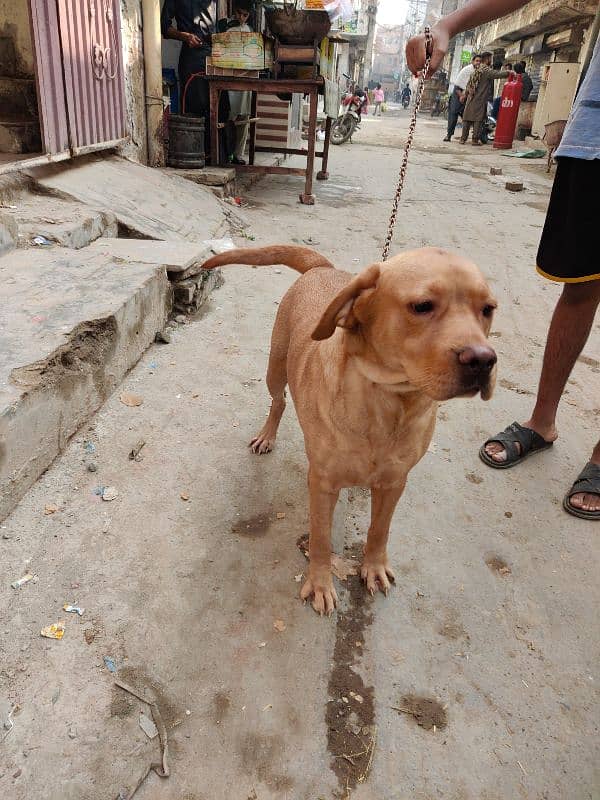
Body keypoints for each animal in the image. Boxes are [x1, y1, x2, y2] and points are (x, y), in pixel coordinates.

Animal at [202, 247, 496, 616]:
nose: (484, 361)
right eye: (422, 306)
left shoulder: (394, 482)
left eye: (488, 309)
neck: (389, 404)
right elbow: (321, 539)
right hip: (275, 367)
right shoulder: (322, 484)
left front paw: (373, 566)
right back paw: (267, 435)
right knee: (278, 401)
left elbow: (379, 531)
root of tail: (323, 268)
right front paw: (320, 584)